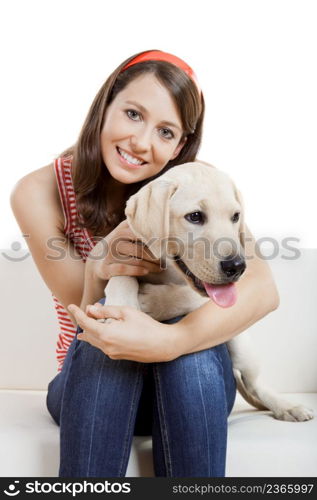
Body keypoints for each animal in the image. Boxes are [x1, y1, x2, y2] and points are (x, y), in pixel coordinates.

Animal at [104, 162, 314, 420]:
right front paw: (120, 303)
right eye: (195, 216)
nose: (237, 267)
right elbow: (120, 275)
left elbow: (189, 295)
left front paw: (152, 301)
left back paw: (286, 406)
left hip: (242, 345)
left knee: (255, 383)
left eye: (236, 216)